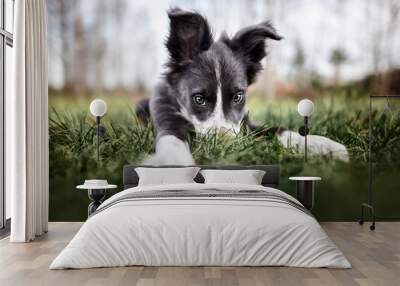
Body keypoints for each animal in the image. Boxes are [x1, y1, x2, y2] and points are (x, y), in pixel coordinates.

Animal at [138, 7, 350, 164]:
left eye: (238, 96)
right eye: (199, 99)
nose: (225, 145)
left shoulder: (245, 124)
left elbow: (276, 129)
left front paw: (321, 144)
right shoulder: (166, 117)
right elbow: (172, 139)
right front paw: (171, 162)